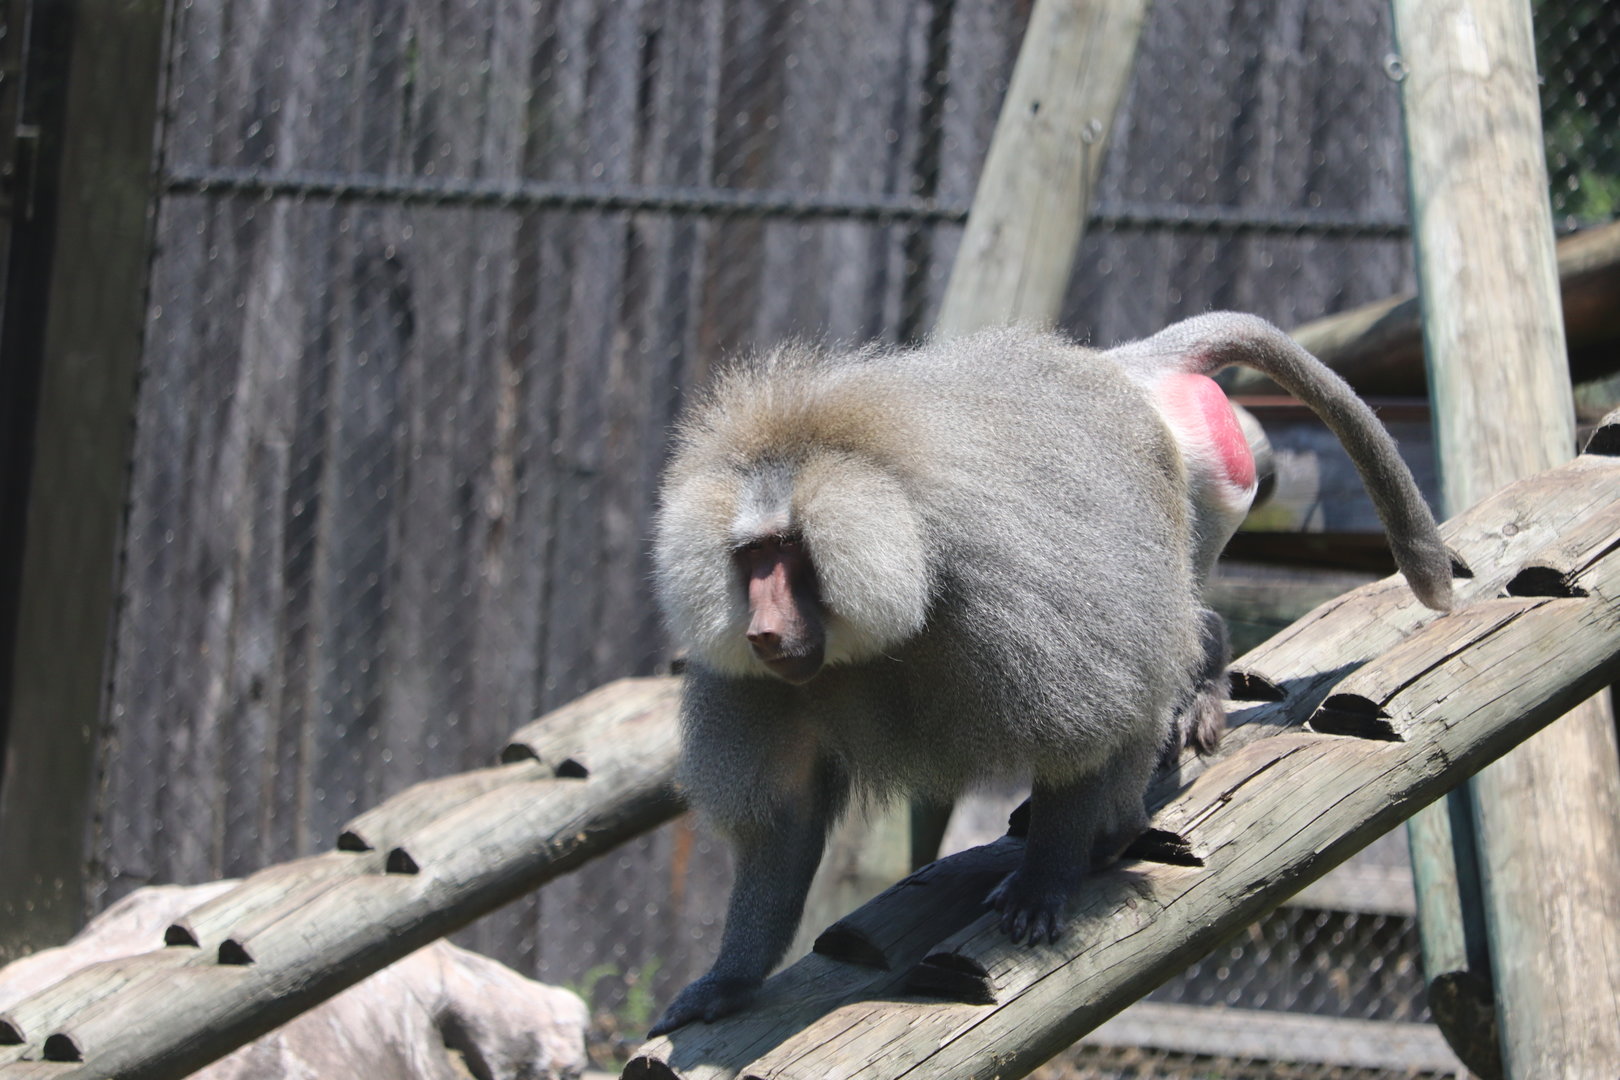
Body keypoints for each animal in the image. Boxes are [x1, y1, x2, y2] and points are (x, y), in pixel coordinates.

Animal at [647, 312, 1452, 1035]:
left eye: (788, 549)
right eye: (751, 557)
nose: (762, 630)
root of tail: (1133, 369)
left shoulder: (1006, 593)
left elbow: (1089, 731)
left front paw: (1045, 884)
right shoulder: (756, 683)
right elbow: (783, 822)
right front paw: (727, 982)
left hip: (1195, 498)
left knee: (1157, 646)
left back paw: (1125, 808)